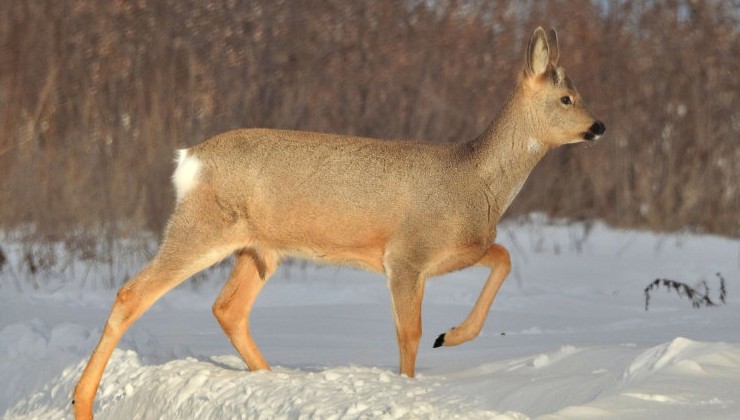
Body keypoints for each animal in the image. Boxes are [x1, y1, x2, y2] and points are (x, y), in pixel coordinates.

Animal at [71, 27, 600, 418]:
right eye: (567, 97)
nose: (600, 126)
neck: (472, 178)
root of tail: (189, 160)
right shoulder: (405, 255)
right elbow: (408, 333)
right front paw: (414, 378)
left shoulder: (454, 251)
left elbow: (503, 257)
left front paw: (451, 335)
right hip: (203, 228)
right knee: (133, 293)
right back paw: (82, 402)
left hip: (259, 248)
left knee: (228, 308)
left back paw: (270, 379)